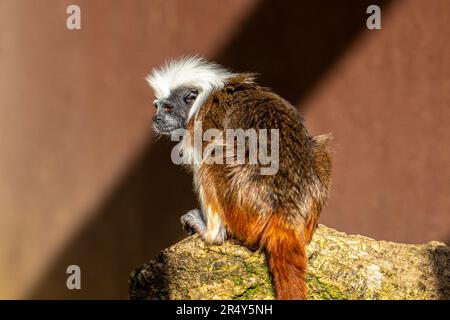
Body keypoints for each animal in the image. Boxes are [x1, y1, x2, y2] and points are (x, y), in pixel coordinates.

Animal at [146, 55, 332, 300]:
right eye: (158, 107)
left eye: (168, 108)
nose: (157, 119)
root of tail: (287, 216)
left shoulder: (200, 126)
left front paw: (211, 232)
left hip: (245, 209)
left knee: (213, 155)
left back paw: (209, 232)